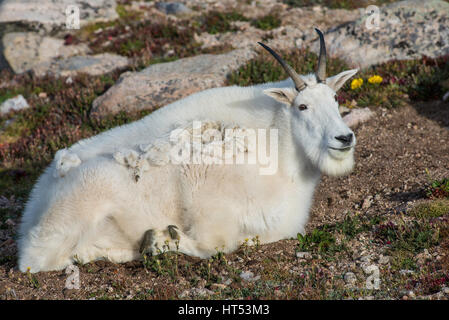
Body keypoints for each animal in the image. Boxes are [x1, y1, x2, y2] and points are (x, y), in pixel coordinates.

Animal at [17, 28, 358, 272]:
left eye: (335, 99)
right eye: (302, 106)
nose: (344, 138)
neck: (278, 154)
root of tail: (35, 202)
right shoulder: (208, 209)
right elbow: (216, 245)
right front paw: (161, 240)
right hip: (81, 204)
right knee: (37, 260)